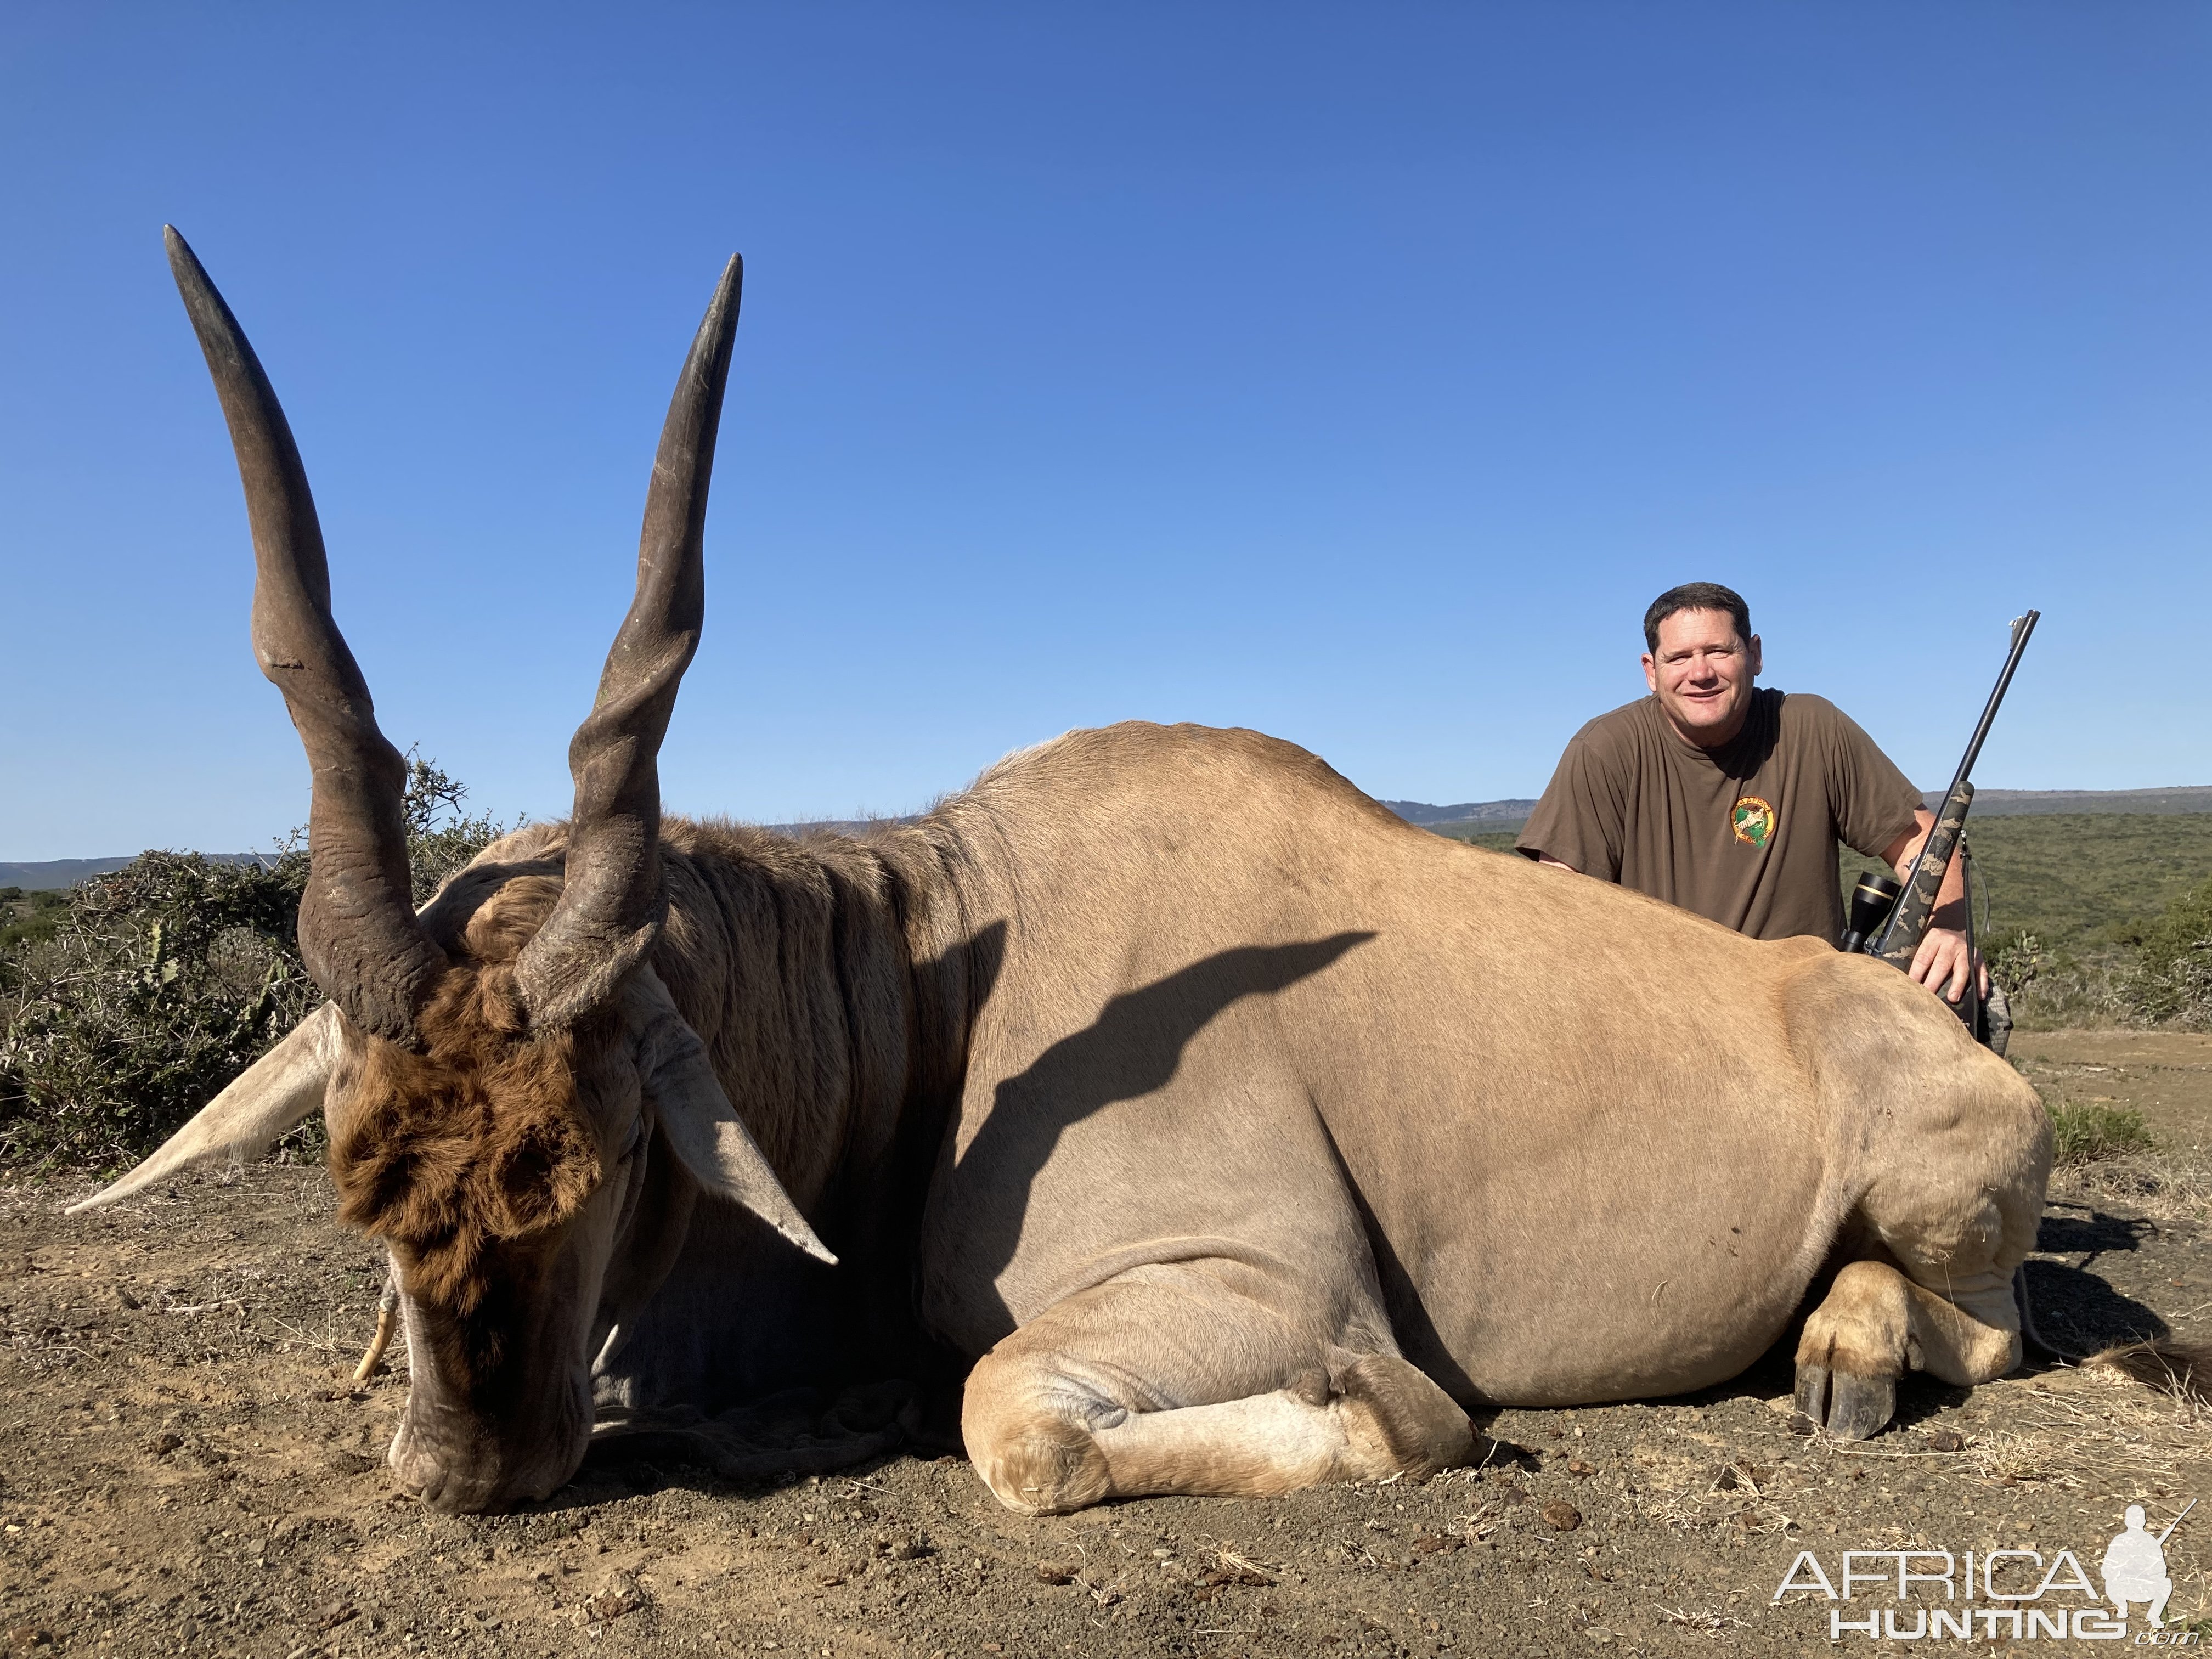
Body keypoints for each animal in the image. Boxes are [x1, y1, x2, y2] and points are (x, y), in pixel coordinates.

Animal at [82, 231, 2052, 1522]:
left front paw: (1400, 1429)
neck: (939, 982)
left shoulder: (1272, 1289)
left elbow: (1016, 1421)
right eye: (355, 1175)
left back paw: (1845, 1355)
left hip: (1953, 1204)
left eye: (618, 1144)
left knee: (1994, 1328)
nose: (468, 1469)